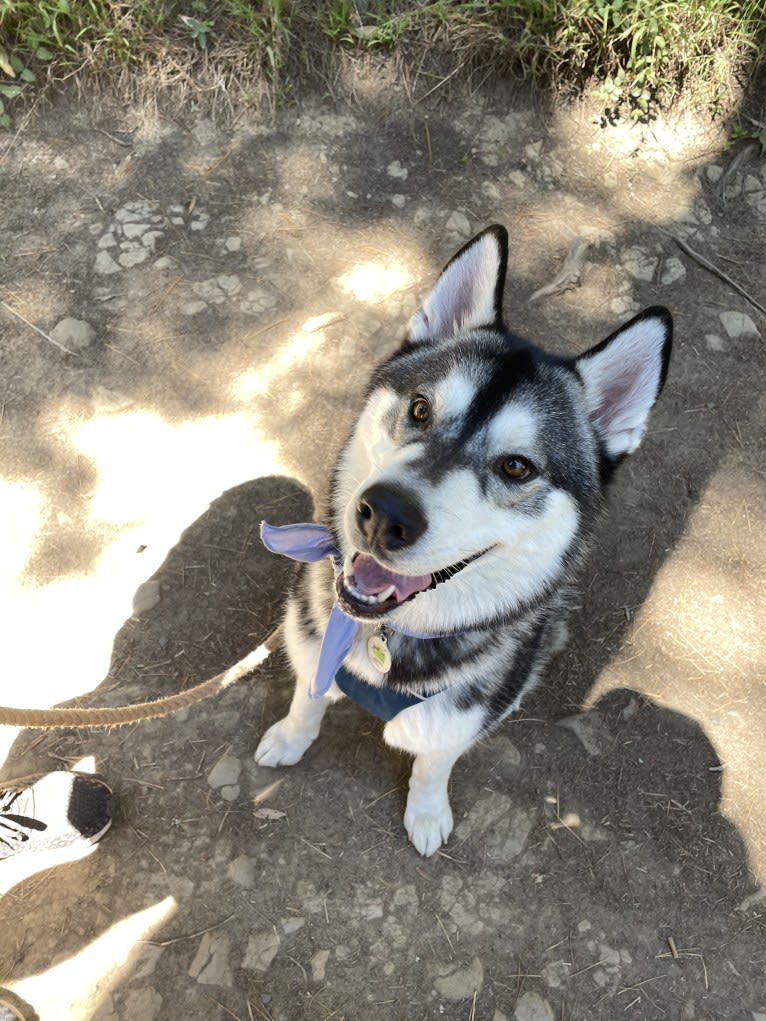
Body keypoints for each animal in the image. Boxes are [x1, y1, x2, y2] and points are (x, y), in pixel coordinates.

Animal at [256, 227, 669, 857]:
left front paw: (427, 812)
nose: (382, 515)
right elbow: (308, 697)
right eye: (420, 407)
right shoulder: (312, 638)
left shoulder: (460, 716)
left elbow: (434, 763)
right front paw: (290, 737)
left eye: (518, 466)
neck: (390, 637)